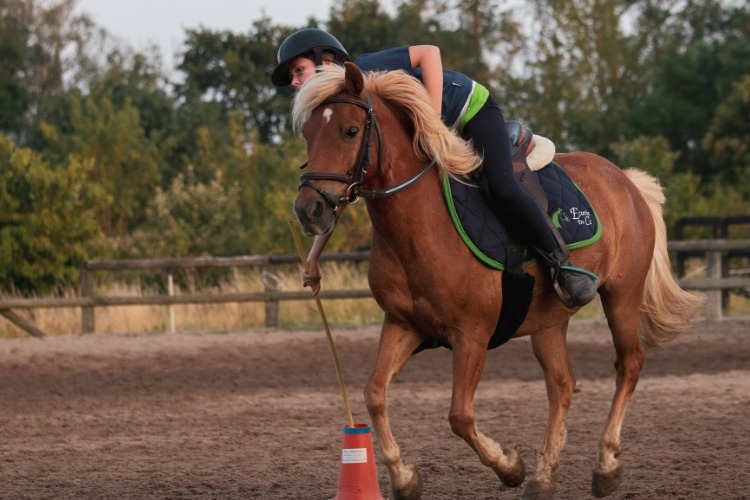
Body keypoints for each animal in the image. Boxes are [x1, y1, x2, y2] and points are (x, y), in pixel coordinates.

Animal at [291, 62, 703, 500]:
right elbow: (374, 394)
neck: (421, 224)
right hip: (549, 319)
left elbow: (459, 415)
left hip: (621, 294)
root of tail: (626, 180)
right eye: (308, 133)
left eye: (351, 130)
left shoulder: (471, 334)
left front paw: (509, 467)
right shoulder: (403, 325)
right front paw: (405, 477)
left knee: (629, 365)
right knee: (562, 384)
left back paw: (606, 465)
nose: (308, 210)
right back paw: (543, 478)